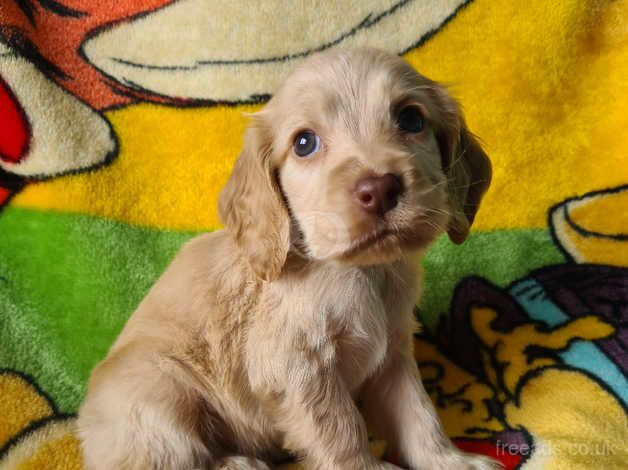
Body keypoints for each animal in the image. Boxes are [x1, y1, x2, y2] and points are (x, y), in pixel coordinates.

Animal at [78, 48, 498, 470]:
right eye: (304, 143)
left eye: (411, 119)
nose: (379, 189)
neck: (361, 272)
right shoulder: (299, 368)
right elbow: (342, 429)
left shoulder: (393, 355)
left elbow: (419, 416)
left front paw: (452, 461)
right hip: (160, 394)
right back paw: (238, 463)